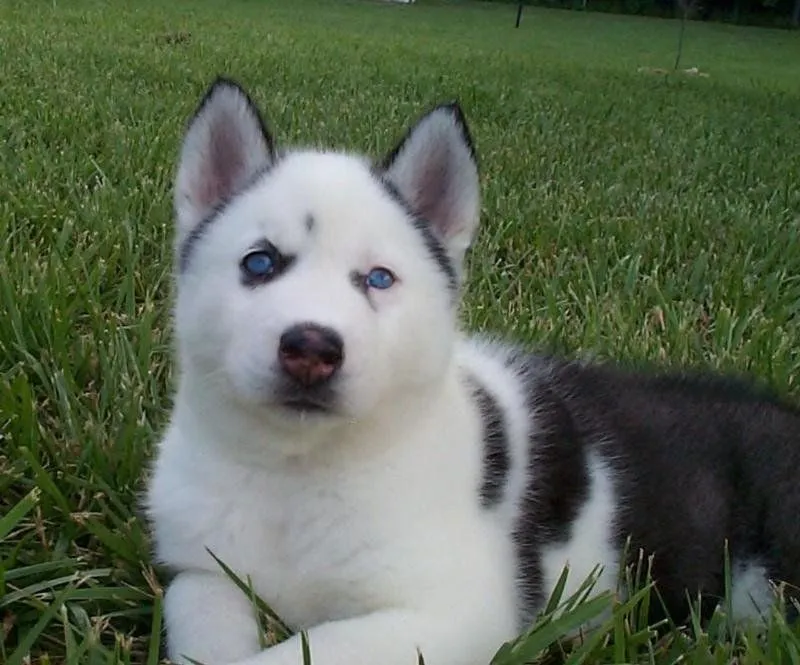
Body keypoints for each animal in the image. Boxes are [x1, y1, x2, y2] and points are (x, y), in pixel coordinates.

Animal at [145, 78, 800, 664]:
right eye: (259, 263)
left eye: (378, 278)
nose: (311, 347)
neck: (296, 472)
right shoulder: (201, 571)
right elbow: (204, 628)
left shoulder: (457, 614)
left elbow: (298, 654)